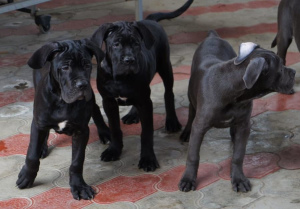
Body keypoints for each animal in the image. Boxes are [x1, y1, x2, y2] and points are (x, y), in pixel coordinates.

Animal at [16, 39, 110, 201]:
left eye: (87, 65)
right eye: (65, 67)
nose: (82, 85)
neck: (62, 101)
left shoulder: (81, 130)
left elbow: (77, 161)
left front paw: (79, 186)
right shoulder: (38, 124)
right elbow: (32, 154)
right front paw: (27, 177)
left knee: (96, 108)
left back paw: (104, 132)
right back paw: (42, 147)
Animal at [91, 0, 193, 171]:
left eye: (136, 44)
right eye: (116, 44)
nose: (129, 60)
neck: (120, 78)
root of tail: (150, 20)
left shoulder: (146, 102)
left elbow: (146, 133)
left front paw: (148, 159)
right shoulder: (109, 102)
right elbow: (114, 128)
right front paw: (114, 150)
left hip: (165, 66)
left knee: (168, 93)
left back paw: (172, 121)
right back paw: (133, 114)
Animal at [179, 30, 294, 193]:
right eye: (281, 69)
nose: (294, 72)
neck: (233, 93)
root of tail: (213, 36)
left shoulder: (243, 125)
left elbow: (238, 155)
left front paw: (239, 179)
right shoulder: (200, 126)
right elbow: (193, 156)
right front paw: (188, 179)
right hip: (191, 95)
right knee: (190, 112)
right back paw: (186, 132)